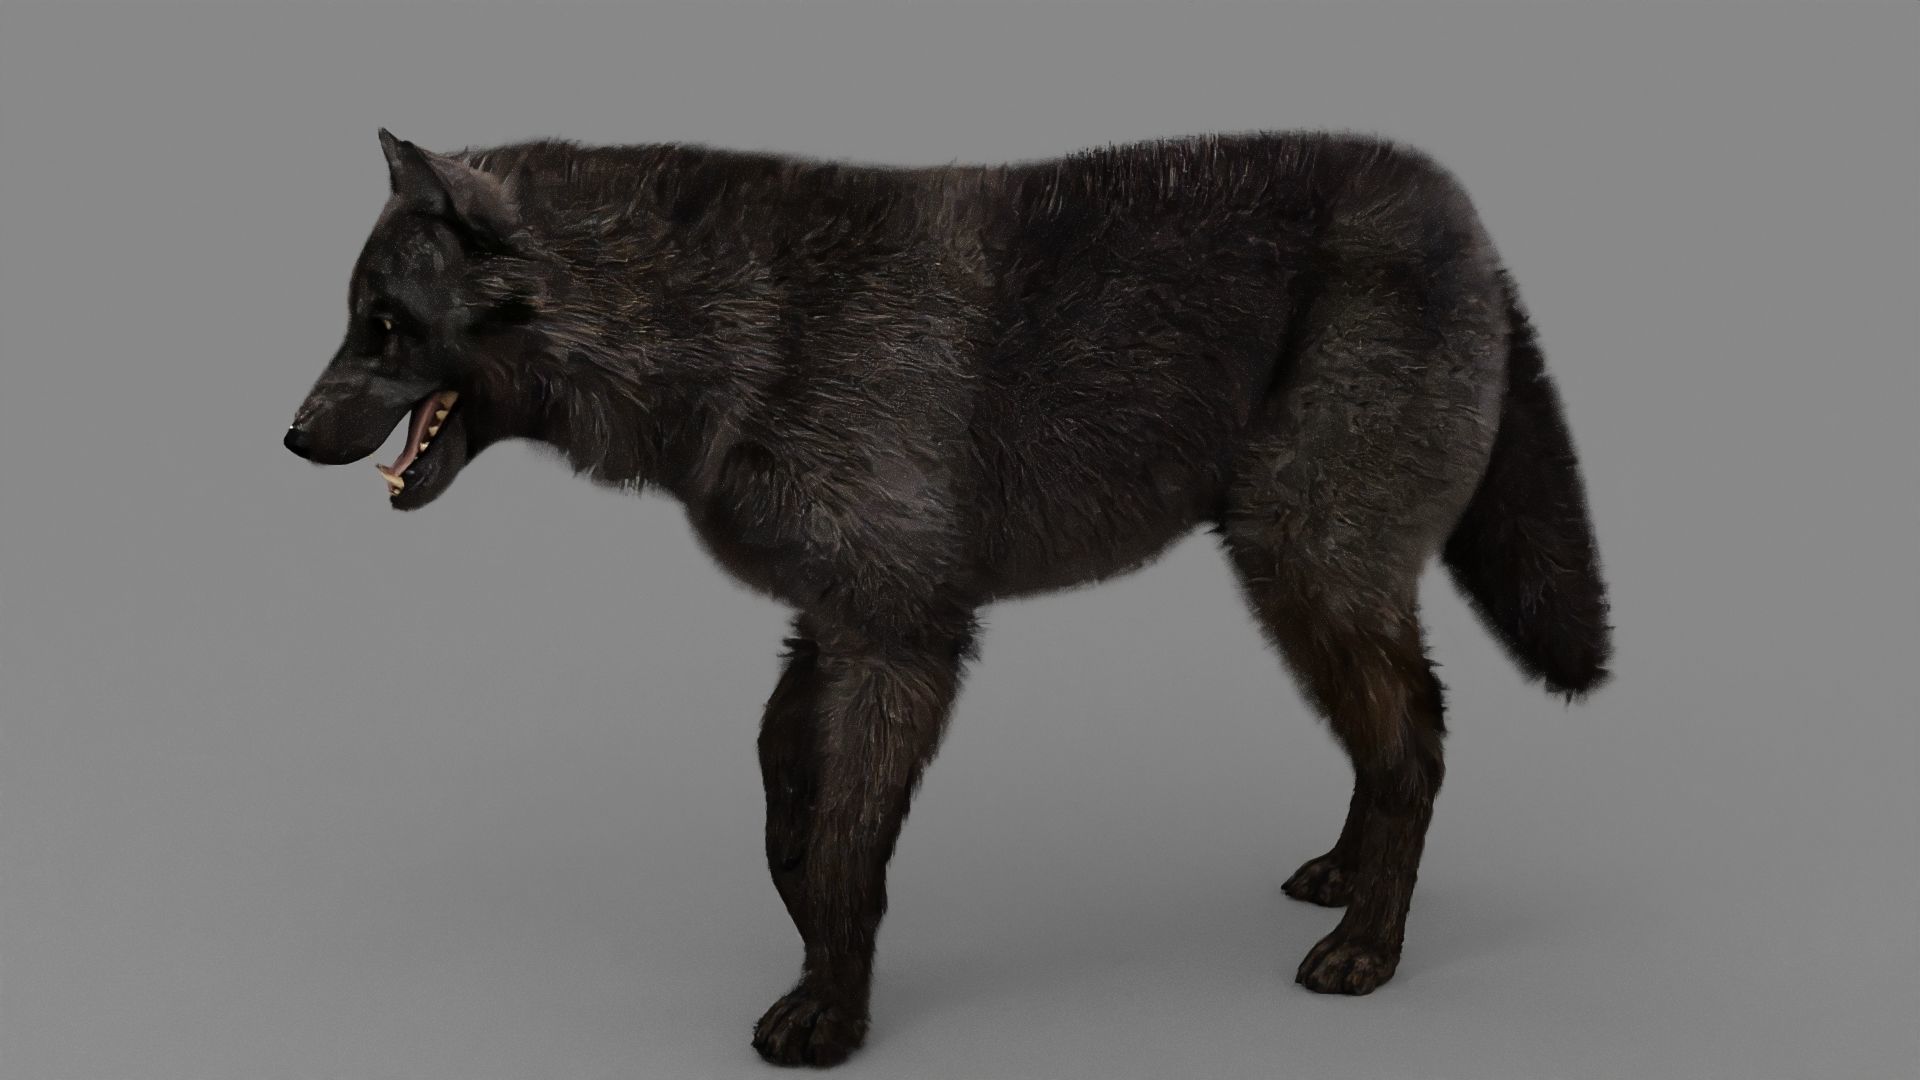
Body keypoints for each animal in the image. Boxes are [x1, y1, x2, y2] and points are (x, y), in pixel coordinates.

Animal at [286, 129, 1610, 1067]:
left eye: (384, 325)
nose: (290, 439)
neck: (730, 320)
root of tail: (1463, 214)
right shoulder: (831, 626)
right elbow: (785, 796)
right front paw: (811, 929)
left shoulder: (902, 639)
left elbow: (844, 834)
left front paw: (829, 1009)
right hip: (1303, 585)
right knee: (1390, 738)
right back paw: (1341, 879)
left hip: (1304, 570)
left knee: (1417, 740)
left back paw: (1367, 949)